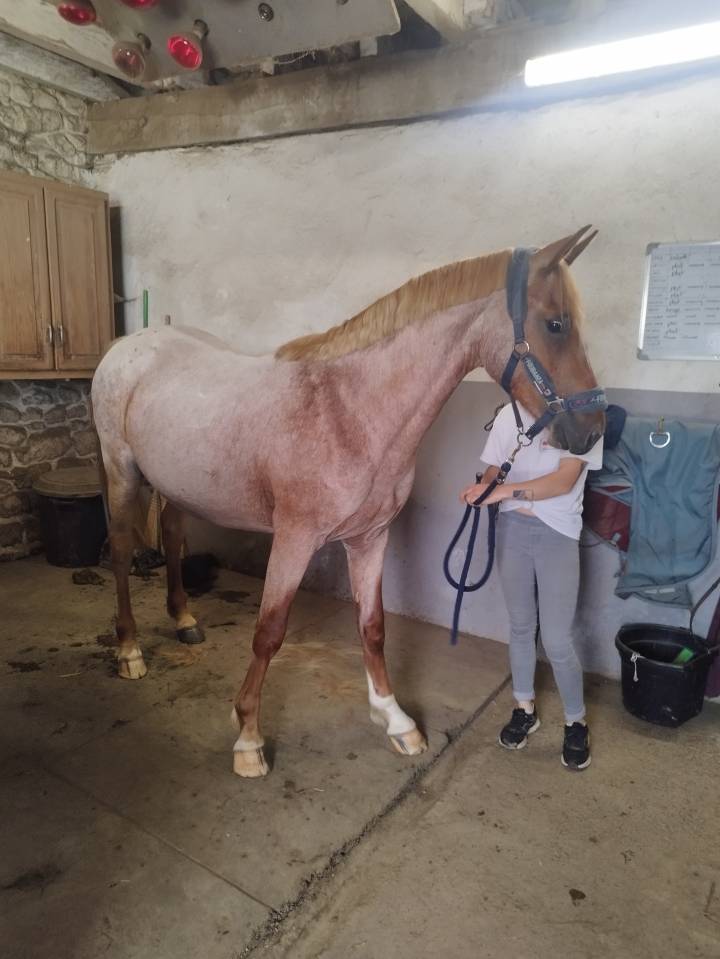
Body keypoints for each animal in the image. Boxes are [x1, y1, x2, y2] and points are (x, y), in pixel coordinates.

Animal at [92, 226, 605, 778]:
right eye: (556, 324)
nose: (593, 431)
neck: (349, 410)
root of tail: (129, 345)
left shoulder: (370, 538)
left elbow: (373, 627)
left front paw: (396, 719)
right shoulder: (294, 540)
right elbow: (268, 632)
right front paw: (248, 737)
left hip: (176, 485)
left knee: (170, 536)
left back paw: (184, 620)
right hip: (122, 472)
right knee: (120, 552)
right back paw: (129, 650)